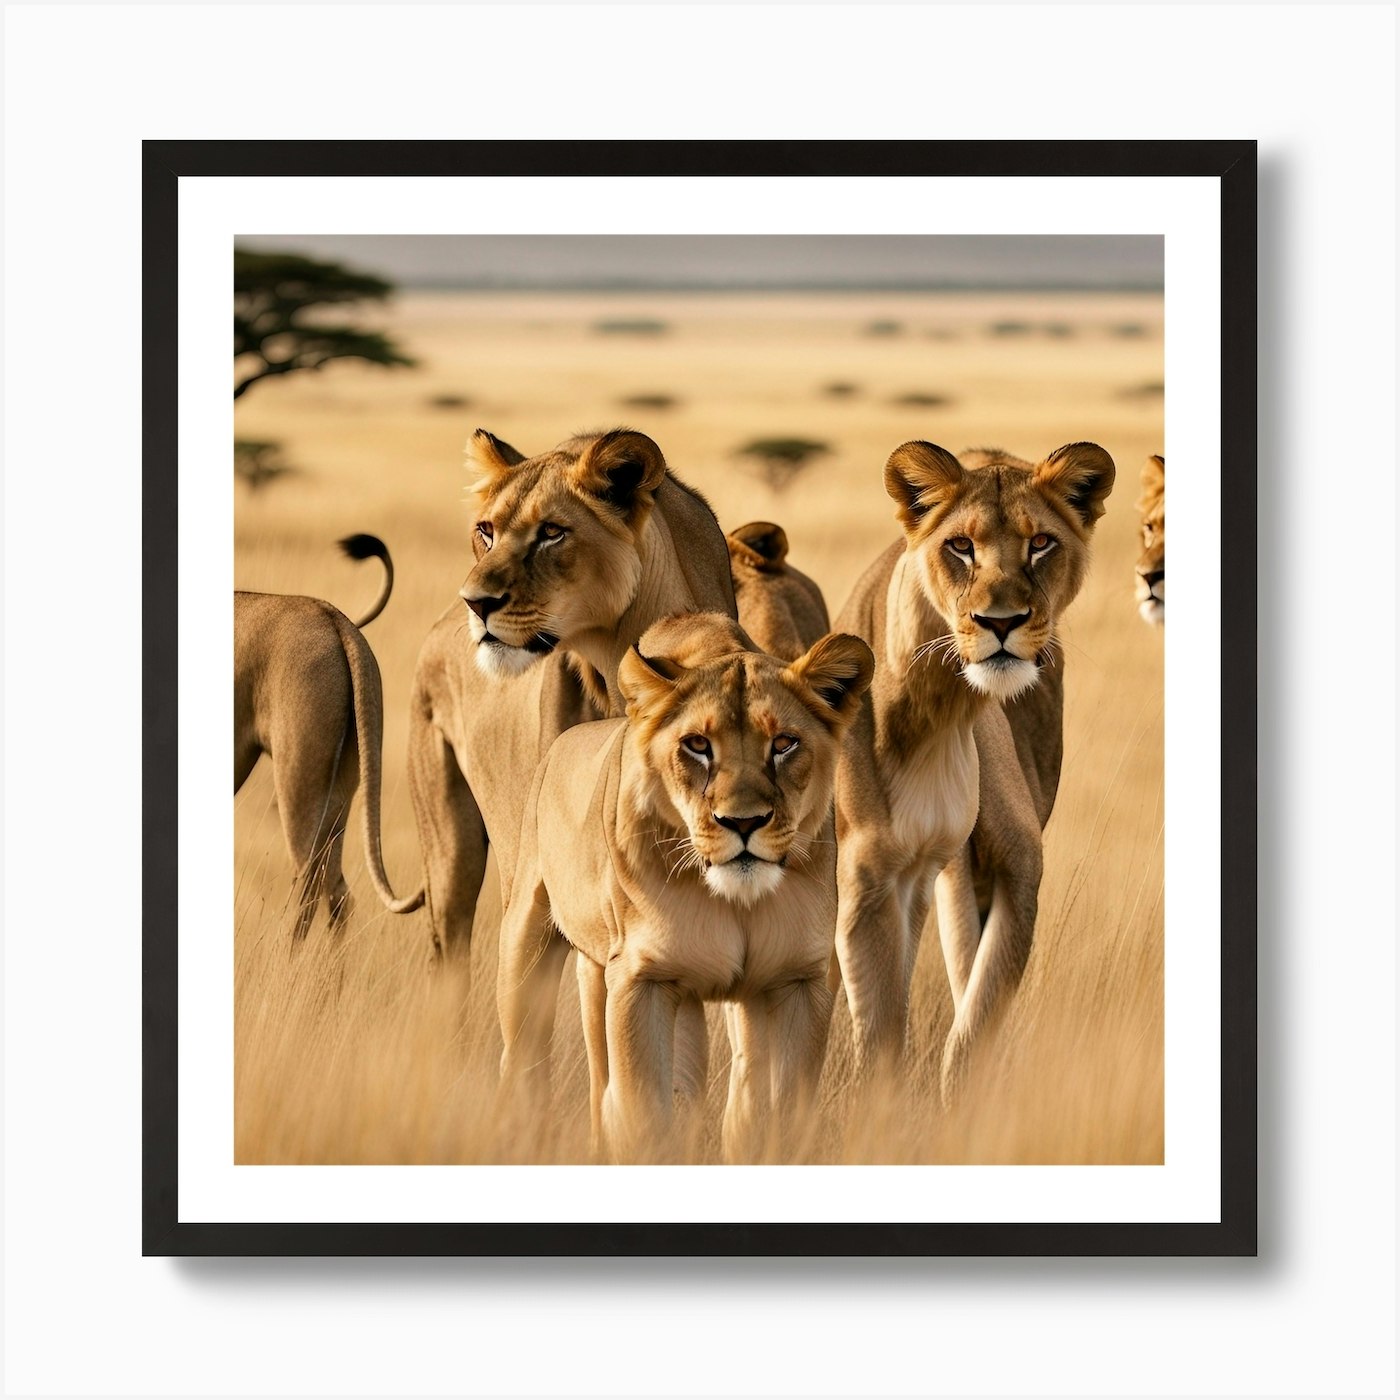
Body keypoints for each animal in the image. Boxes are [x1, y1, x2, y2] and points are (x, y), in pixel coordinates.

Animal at [497, 612, 873, 1163]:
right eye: (697, 745)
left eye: (784, 744)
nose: (743, 822)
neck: (736, 902)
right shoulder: (641, 979)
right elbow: (642, 1116)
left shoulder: (798, 982)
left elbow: (782, 1115)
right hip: (528, 938)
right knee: (528, 1061)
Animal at [831, 441, 1114, 1101]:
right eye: (960, 546)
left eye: (1041, 543)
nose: (1001, 623)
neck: (936, 710)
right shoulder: (869, 871)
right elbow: (880, 1028)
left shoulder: (1017, 864)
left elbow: (978, 1014)